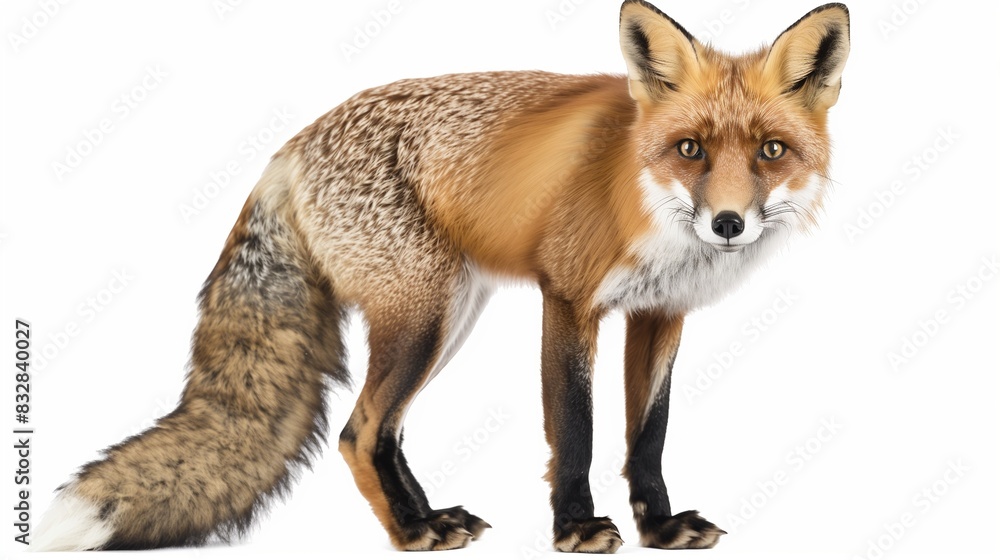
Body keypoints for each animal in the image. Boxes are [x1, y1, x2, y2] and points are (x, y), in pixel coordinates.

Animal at [29, 0, 849, 553]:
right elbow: (576, 430)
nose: (729, 224)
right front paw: (576, 528)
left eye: (771, 151)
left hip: (448, 316)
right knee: (359, 431)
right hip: (426, 316)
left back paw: (427, 518)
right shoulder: (568, 299)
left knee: (381, 431)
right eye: (690, 149)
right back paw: (408, 533)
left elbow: (648, 435)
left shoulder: (661, 313)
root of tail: (291, 147)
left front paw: (660, 525)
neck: (642, 200)